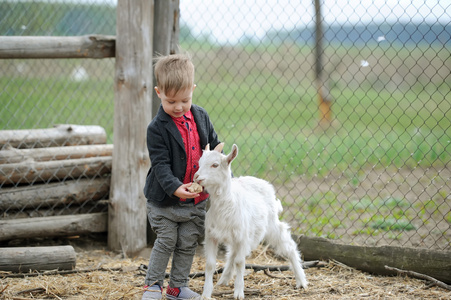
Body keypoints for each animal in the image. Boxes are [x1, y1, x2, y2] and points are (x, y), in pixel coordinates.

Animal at [194, 143, 308, 300]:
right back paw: (224, 279)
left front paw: (238, 293)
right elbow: (211, 264)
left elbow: (240, 262)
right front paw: (205, 294)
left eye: (215, 165)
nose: (196, 177)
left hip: (270, 224)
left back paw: (301, 281)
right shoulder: (212, 235)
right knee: (233, 254)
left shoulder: (242, 236)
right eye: (199, 163)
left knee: (289, 246)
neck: (226, 204)